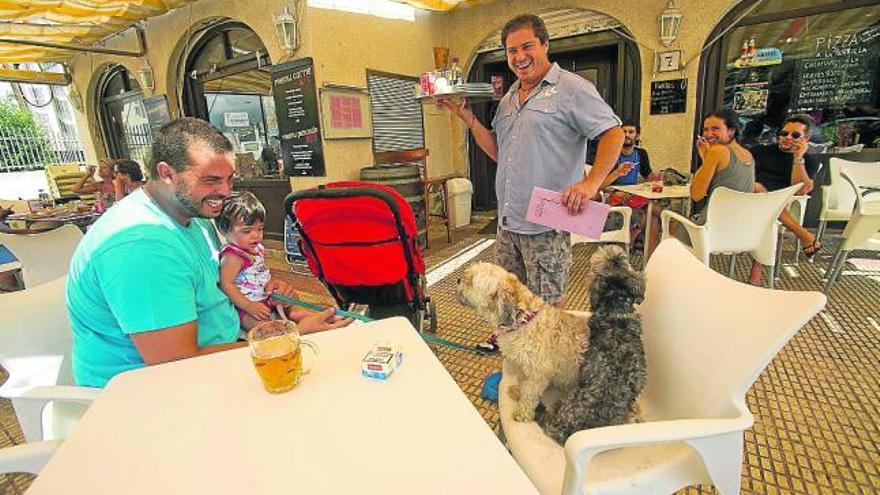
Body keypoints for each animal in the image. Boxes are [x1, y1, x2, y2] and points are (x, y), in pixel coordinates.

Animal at [454, 264, 592, 422]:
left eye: (470, 280)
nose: (458, 280)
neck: (524, 321)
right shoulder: (525, 367)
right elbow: (523, 383)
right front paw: (518, 391)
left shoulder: (538, 373)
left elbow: (529, 394)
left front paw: (522, 412)